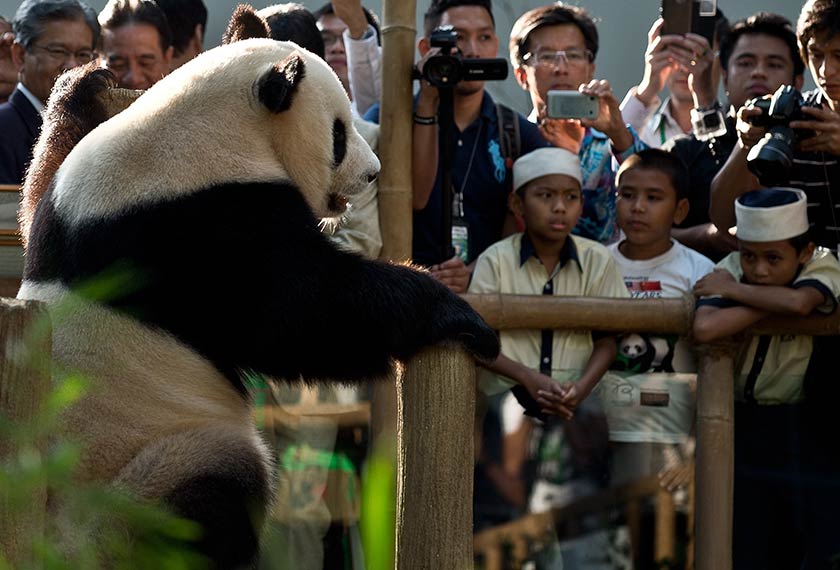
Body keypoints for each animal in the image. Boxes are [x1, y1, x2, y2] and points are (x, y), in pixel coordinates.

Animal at [17, 7, 499, 568]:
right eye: (339, 133)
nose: (374, 174)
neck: (205, 130)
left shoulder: (73, 204)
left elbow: (36, 203)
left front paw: (81, 88)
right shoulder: (202, 226)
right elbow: (304, 311)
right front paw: (459, 316)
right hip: (143, 473)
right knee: (212, 496)